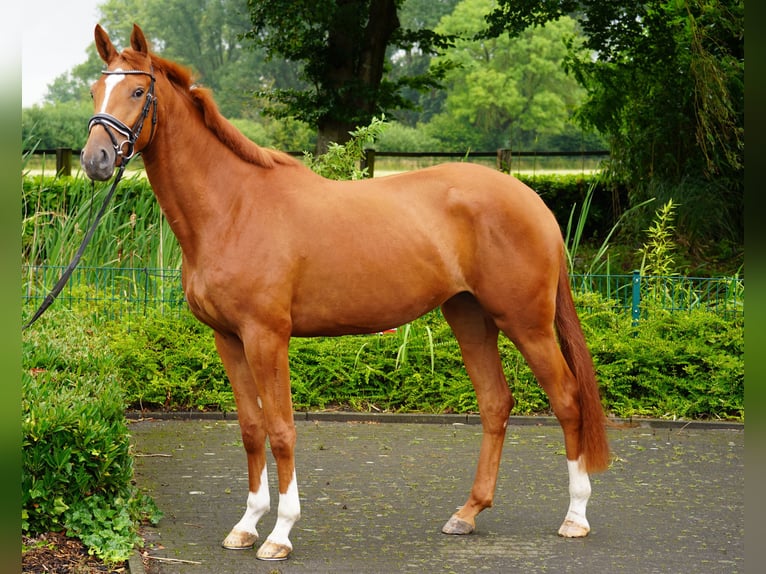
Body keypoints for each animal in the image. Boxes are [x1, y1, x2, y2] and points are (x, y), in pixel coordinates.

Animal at [82, 25, 612, 564]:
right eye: (95, 90)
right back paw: (467, 513)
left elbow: (281, 429)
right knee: (495, 403)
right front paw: (247, 525)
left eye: (139, 91)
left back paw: (576, 517)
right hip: (469, 316)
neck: (233, 207)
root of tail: (533, 202)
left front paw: (280, 534)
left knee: (567, 400)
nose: (95, 160)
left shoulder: (266, 337)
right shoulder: (228, 339)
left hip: (526, 323)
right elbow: (251, 429)